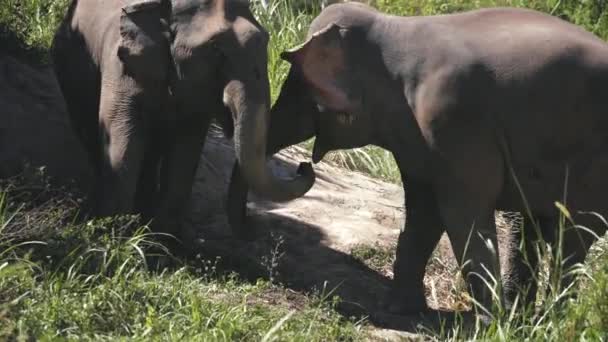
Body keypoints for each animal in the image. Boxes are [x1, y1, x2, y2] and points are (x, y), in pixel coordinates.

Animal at [51, 0, 314, 240]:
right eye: (217, 50)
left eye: (267, 42)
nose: (305, 166)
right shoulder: (122, 67)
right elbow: (123, 135)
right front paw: (112, 233)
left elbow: (186, 148)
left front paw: (161, 240)